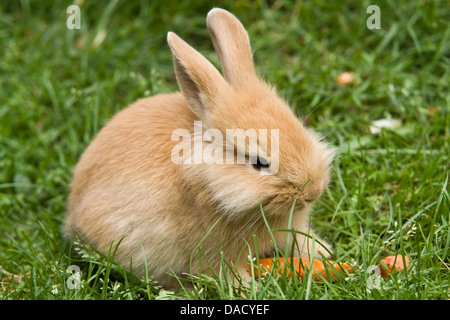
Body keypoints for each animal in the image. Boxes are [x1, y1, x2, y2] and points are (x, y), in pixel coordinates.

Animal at [65, 7, 336, 288]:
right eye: (259, 163)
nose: (312, 192)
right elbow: (225, 272)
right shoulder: (214, 252)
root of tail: (72, 212)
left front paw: (324, 253)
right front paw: (247, 288)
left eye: (299, 125)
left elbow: (298, 239)